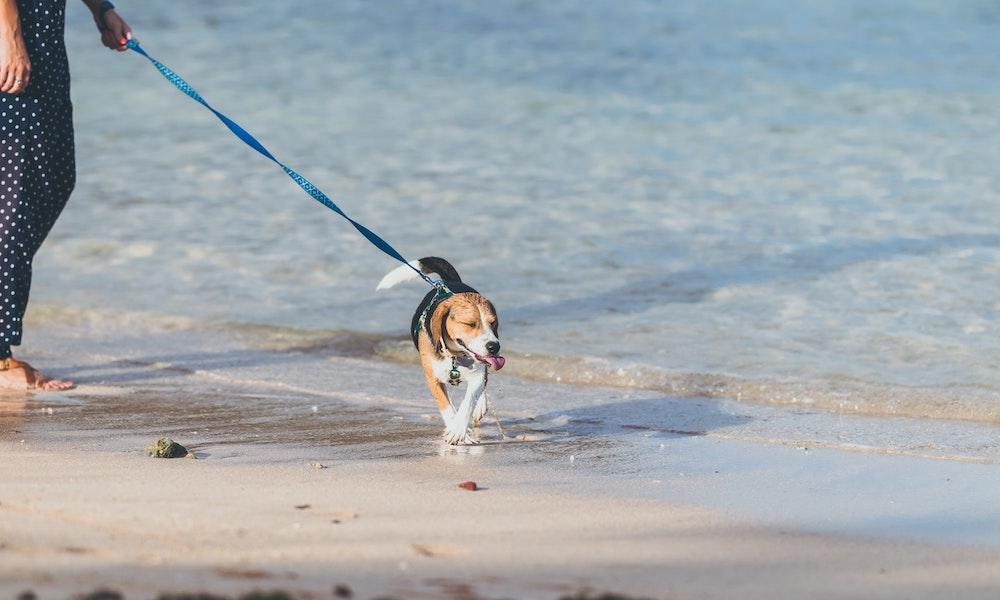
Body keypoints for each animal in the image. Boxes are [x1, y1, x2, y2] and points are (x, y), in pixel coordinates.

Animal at [376, 255, 504, 442]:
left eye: (493, 323)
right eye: (470, 324)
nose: (494, 346)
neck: (454, 356)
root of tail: (449, 282)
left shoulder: (477, 376)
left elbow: (468, 401)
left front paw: (459, 429)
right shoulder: (433, 379)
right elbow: (447, 407)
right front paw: (457, 430)